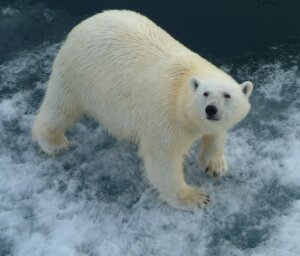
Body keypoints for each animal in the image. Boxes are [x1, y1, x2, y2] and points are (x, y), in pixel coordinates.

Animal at [32, 10, 253, 211]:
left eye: (227, 95)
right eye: (205, 94)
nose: (211, 110)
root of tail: (85, 22)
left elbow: (215, 135)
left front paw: (216, 166)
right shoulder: (167, 117)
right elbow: (162, 159)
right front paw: (195, 197)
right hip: (77, 74)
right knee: (60, 108)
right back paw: (54, 143)